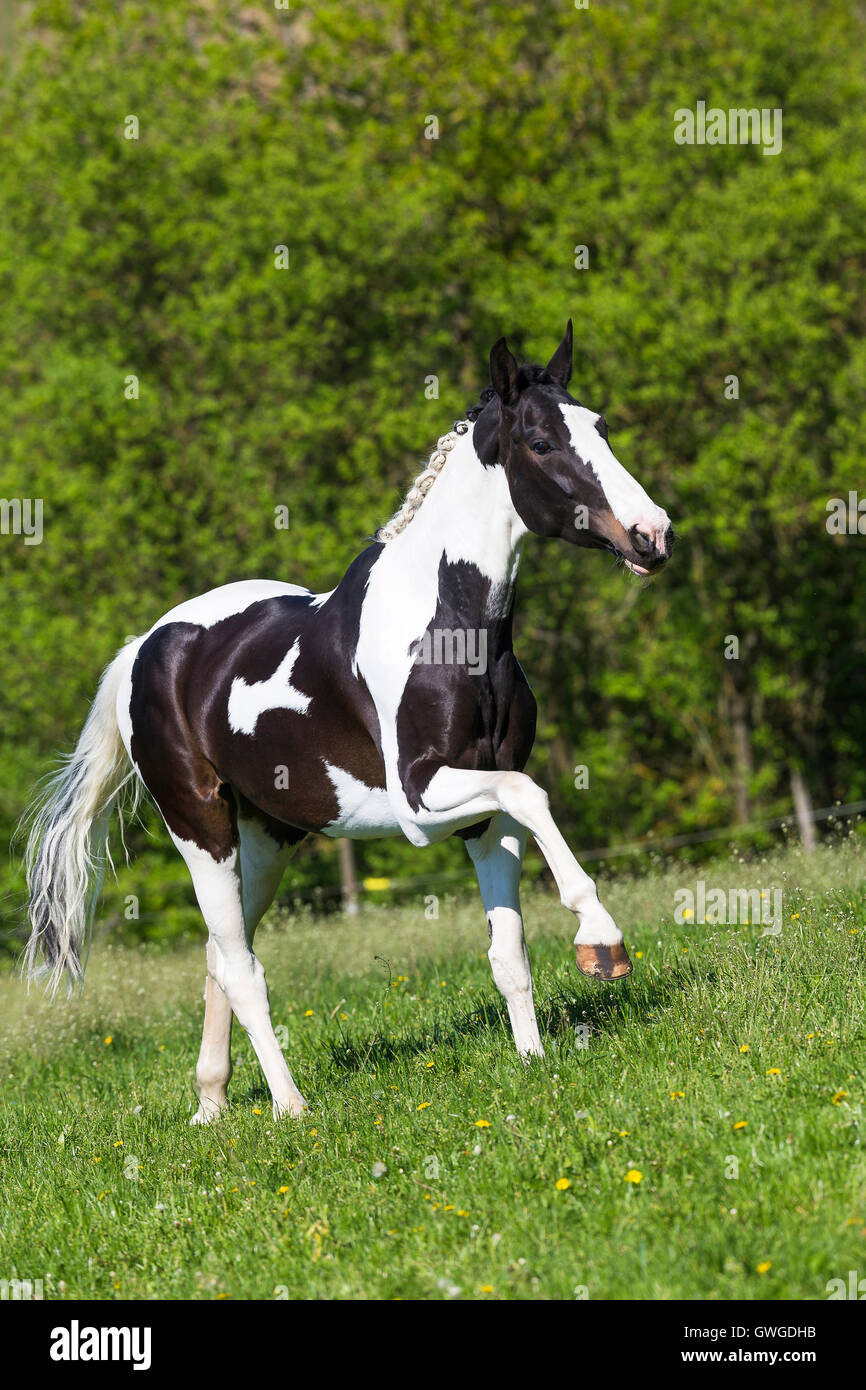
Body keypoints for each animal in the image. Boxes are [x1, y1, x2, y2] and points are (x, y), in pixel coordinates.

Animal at [23, 322, 673, 1122]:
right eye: (542, 442)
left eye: (601, 428)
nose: (652, 536)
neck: (452, 631)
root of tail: (146, 648)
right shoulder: (422, 802)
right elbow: (534, 794)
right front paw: (602, 942)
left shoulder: (481, 814)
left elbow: (509, 948)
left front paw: (533, 1059)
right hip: (200, 828)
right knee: (241, 970)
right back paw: (290, 1109)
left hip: (266, 840)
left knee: (218, 954)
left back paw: (212, 1104)